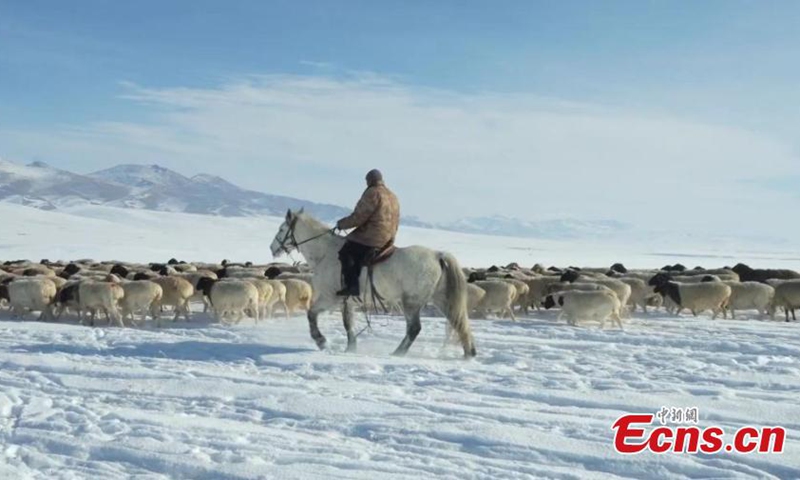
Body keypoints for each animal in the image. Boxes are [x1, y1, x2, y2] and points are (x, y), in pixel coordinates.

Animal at [272, 208, 478, 358]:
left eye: (282, 229)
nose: (272, 248)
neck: (326, 253)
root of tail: (438, 255)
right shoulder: (347, 301)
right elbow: (348, 323)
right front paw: (351, 347)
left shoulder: (331, 298)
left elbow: (311, 314)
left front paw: (321, 341)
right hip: (441, 299)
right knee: (459, 322)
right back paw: (469, 353)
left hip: (411, 302)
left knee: (414, 328)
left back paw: (398, 352)